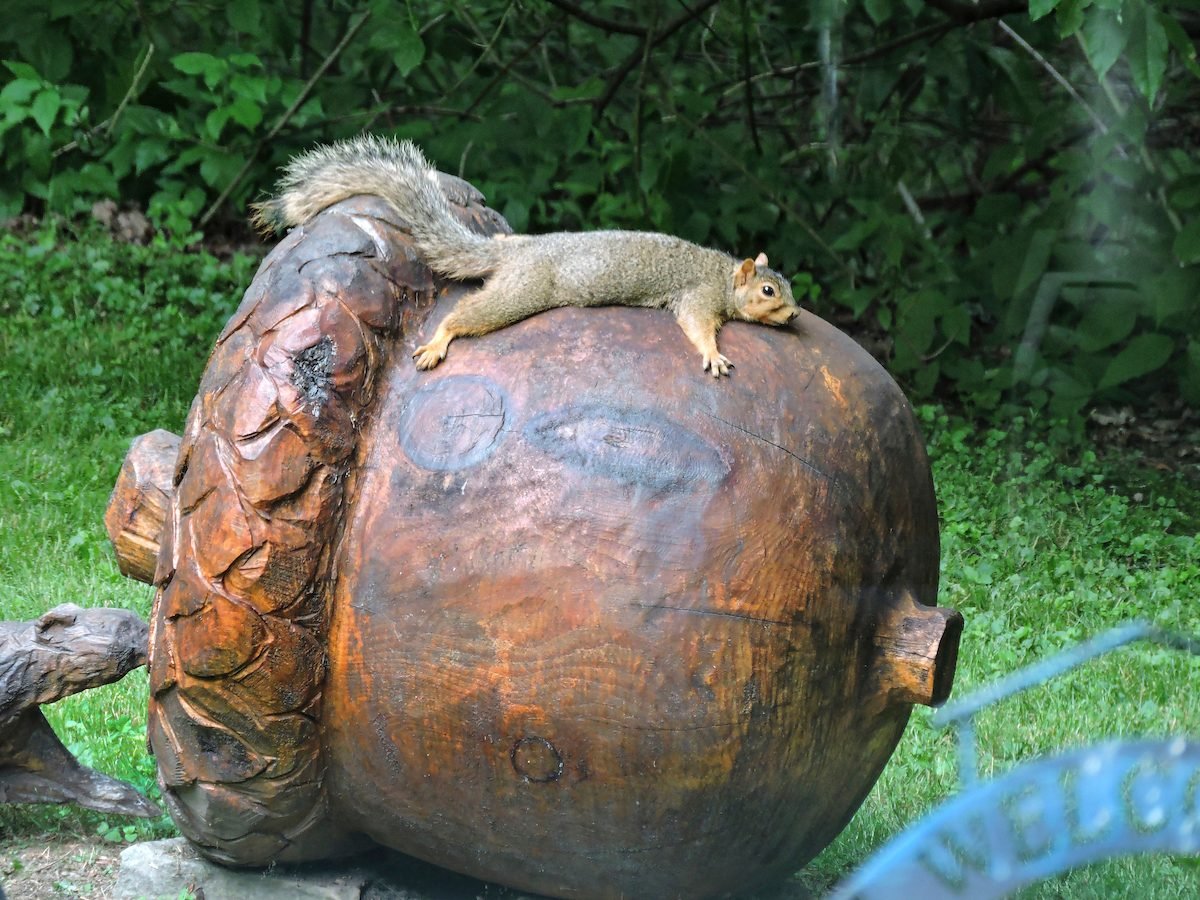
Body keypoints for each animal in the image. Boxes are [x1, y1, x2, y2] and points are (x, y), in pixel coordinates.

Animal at [252, 135, 800, 376]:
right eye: (768, 290)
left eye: (791, 286)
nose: (795, 314)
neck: (723, 274)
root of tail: (520, 253)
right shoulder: (698, 296)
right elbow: (697, 325)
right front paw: (713, 354)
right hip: (522, 292)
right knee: (466, 314)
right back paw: (439, 341)